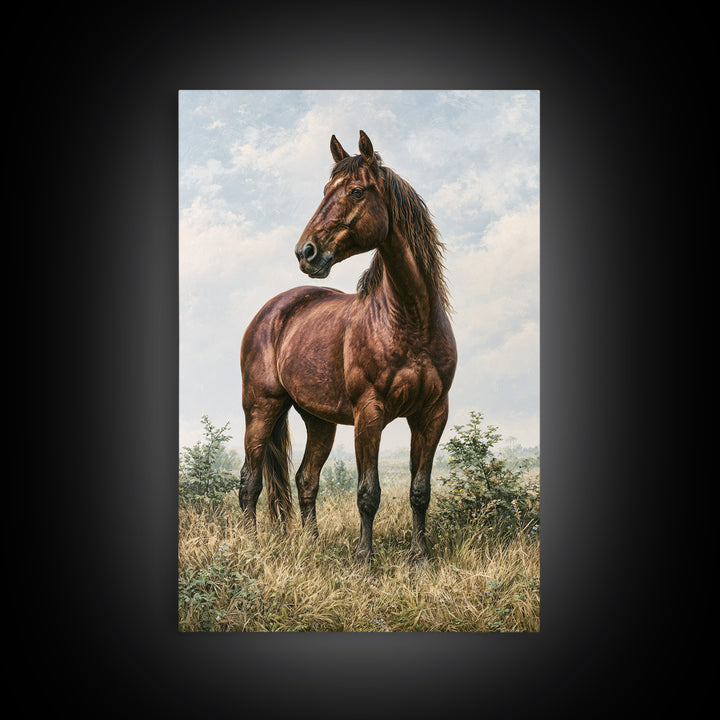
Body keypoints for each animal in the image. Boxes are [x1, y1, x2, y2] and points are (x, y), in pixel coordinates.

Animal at [238, 130, 457, 563]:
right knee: (250, 482)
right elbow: (368, 494)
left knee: (305, 479)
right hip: (261, 408)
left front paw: (420, 558)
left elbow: (420, 491)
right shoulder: (369, 414)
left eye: (356, 191)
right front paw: (364, 561)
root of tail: (270, 312)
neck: (410, 320)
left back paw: (312, 545)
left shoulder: (432, 414)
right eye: (326, 190)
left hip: (318, 420)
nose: (305, 252)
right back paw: (250, 546)